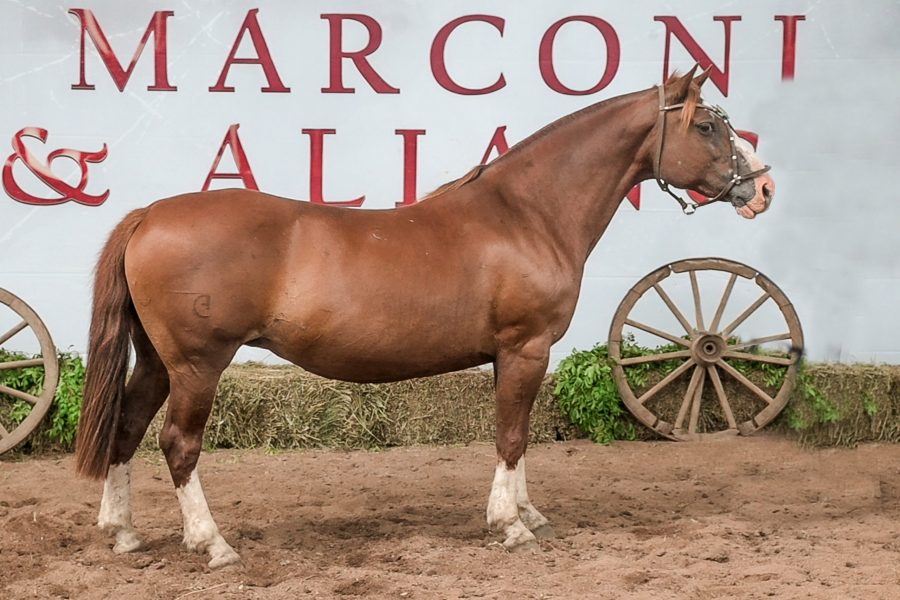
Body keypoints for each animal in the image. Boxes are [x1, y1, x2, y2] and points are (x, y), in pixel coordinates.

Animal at [75, 70, 772, 568]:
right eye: (706, 126)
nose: (762, 188)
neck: (526, 214)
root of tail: (150, 214)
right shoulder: (526, 347)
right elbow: (511, 437)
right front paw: (510, 527)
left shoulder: (514, 357)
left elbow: (517, 438)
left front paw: (528, 514)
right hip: (198, 365)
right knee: (177, 444)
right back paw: (212, 544)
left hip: (159, 363)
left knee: (127, 428)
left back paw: (124, 533)